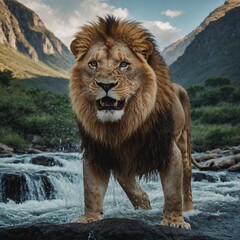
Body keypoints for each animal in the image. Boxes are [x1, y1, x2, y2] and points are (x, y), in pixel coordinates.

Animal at [69, 15, 195, 230]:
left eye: (123, 64)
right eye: (93, 64)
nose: (106, 85)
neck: (123, 124)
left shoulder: (168, 149)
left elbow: (172, 191)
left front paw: (174, 222)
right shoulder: (97, 152)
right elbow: (92, 190)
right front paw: (89, 218)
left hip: (184, 140)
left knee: (186, 178)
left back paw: (189, 209)